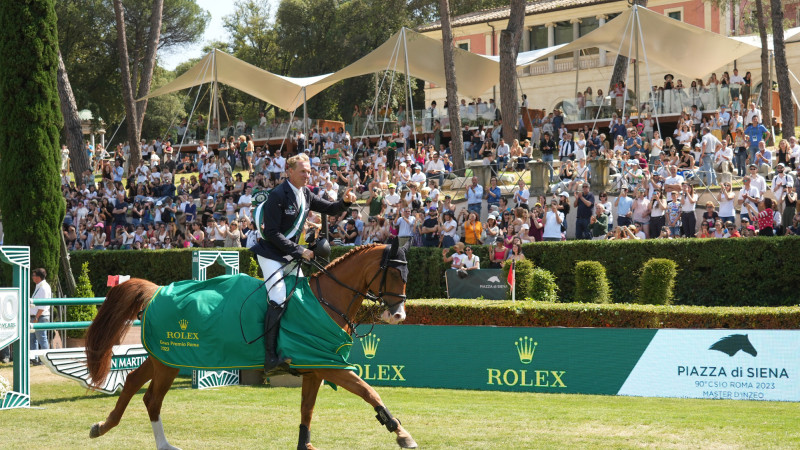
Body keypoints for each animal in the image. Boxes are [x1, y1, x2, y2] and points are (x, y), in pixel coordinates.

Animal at [84, 243, 416, 450]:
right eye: (395, 273)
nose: (398, 316)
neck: (326, 301)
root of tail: (157, 290)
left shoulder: (314, 369)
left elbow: (306, 411)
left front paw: (305, 443)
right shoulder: (330, 367)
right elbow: (369, 392)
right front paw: (401, 433)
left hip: (163, 358)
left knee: (132, 381)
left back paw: (103, 426)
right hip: (169, 360)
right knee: (151, 398)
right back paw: (162, 444)